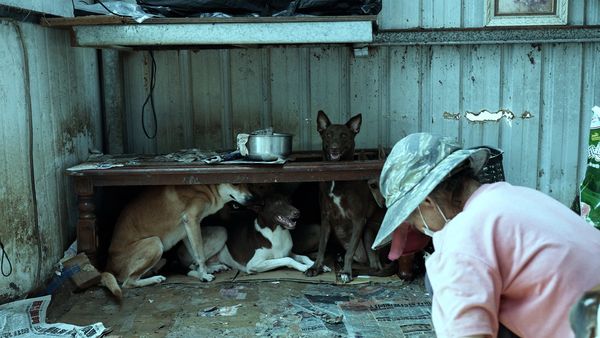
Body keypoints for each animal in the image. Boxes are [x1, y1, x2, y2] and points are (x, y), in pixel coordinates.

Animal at [100, 182, 253, 298]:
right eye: (235, 183)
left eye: (247, 183)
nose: (251, 198)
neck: (207, 188)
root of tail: (108, 266)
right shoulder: (191, 221)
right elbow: (200, 255)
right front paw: (204, 275)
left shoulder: (185, 230)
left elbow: (196, 255)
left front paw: (204, 272)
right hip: (155, 243)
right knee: (128, 282)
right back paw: (155, 279)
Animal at [304, 110, 390, 282]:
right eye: (328, 135)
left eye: (344, 135)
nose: (334, 149)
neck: (336, 177)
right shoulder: (326, 218)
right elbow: (322, 246)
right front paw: (315, 267)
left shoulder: (359, 220)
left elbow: (350, 251)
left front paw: (346, 272)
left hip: (369, 232)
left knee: (375, 266)